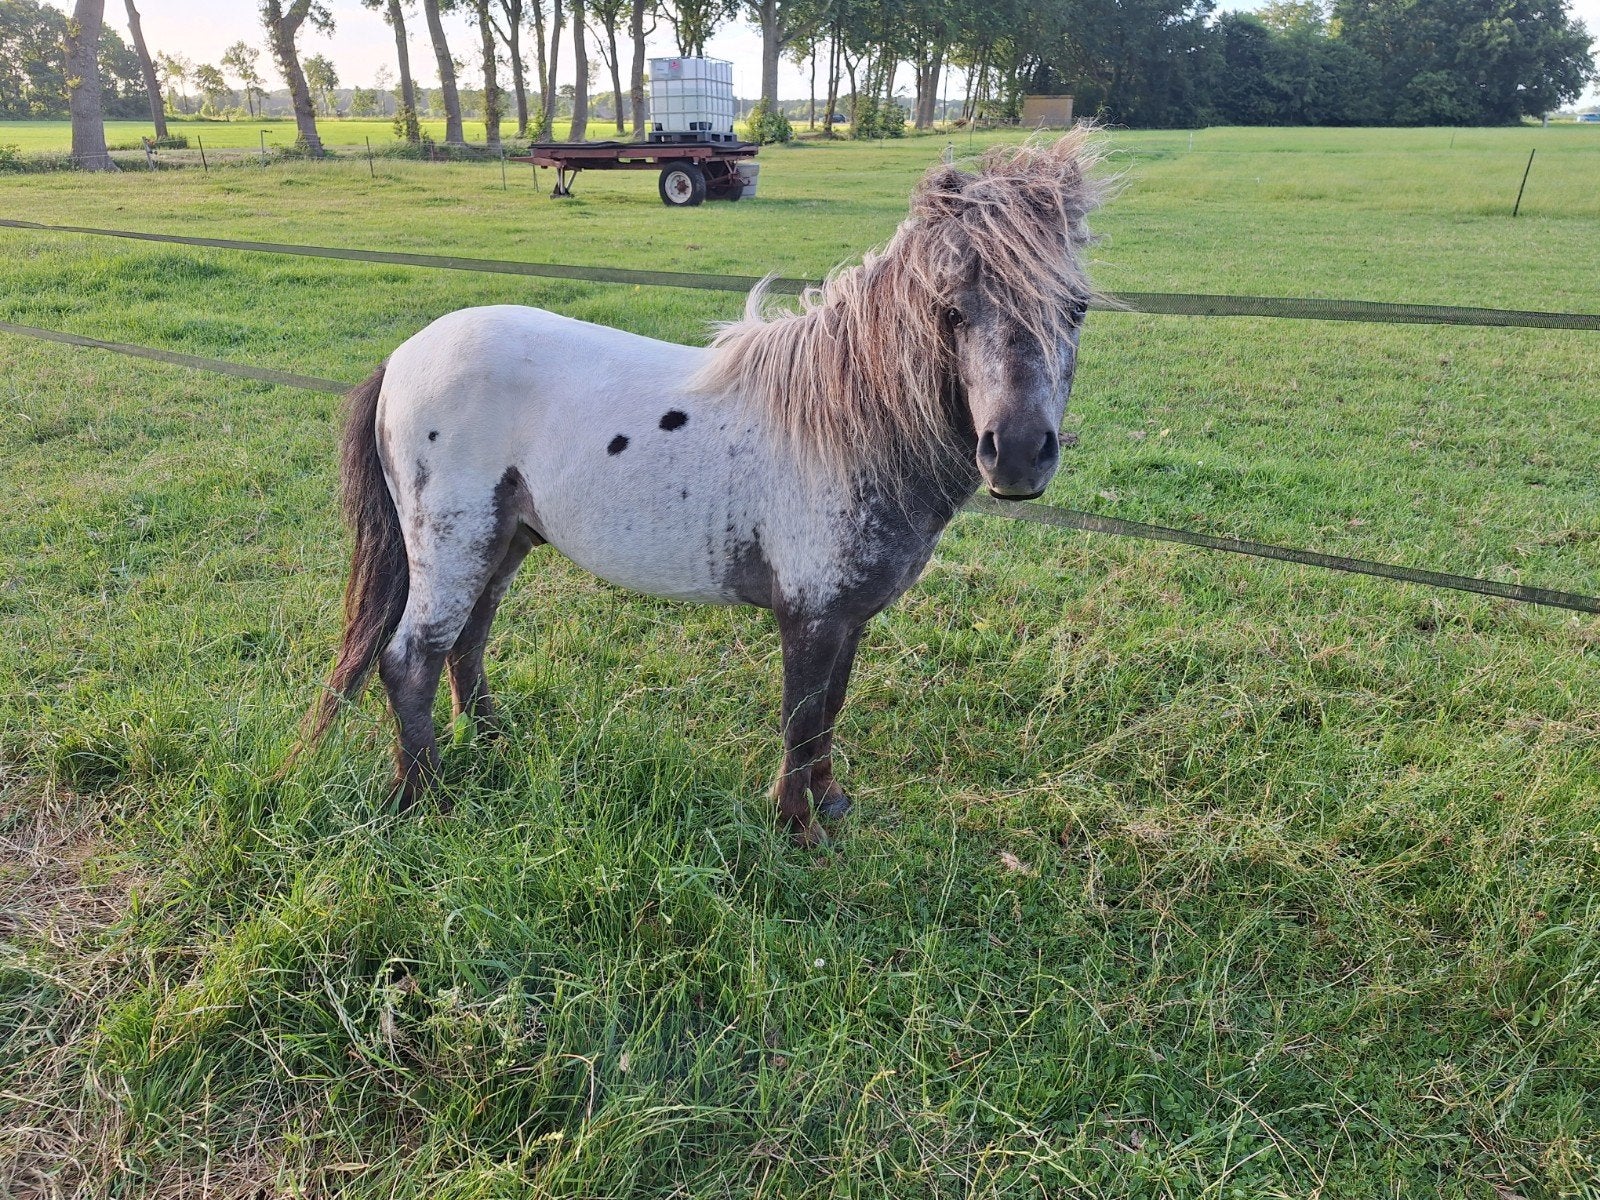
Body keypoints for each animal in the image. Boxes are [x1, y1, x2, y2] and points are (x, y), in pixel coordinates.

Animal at [306, 132, 1107, 847]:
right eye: (952, 309)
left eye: (1076, 308)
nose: (1019, 456)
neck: (846, 421)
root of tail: (403, 357)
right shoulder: (811, 616)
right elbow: (802, 718)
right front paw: (798, 830)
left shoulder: (849, 617)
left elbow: (830, 711)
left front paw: (830, 803)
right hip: (452, 545)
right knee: (411, 658)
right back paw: (426, 798)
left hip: (502, 543)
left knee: (466, 642)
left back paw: (494, 743)